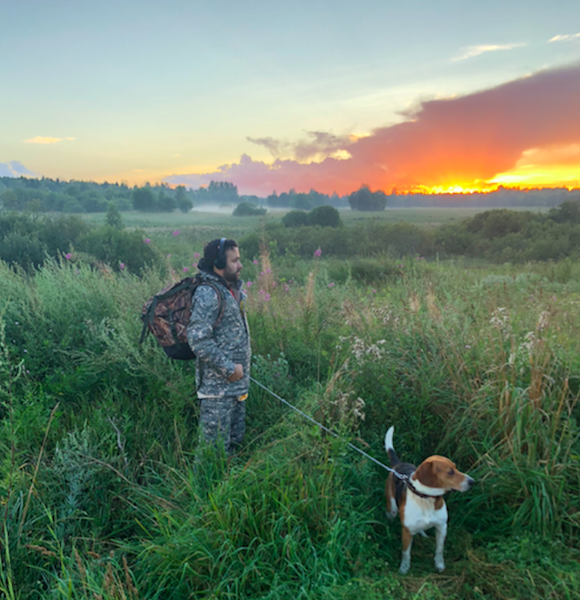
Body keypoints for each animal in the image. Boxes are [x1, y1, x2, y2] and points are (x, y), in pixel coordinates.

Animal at [386, 424, 472, 576]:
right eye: (450, 472)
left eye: (456, 468)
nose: (472, 481)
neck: (426, 498)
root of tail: (398, 465)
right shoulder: (407, 532)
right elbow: (406, 553)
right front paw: (404, 568)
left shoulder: (442, 527)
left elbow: (439, 550)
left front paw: (439, 565)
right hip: (392, 509)